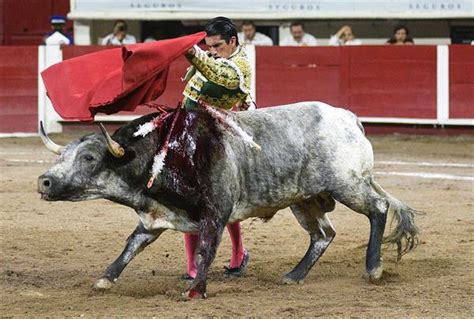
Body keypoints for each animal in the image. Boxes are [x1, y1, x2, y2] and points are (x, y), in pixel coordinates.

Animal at [38, 102, 418, 300]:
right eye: (66, 154)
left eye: (89, 158)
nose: (44, 181)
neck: (165, 154)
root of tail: (350, 119)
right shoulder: (156, 217)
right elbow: (131, 245)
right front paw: (106, 278)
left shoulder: (215, 214)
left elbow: (206, 249)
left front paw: (196, 290)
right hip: (305, 199)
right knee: (323, 235)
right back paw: (294, 275)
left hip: (347, 184)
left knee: (377, 209)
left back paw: (374, 268)